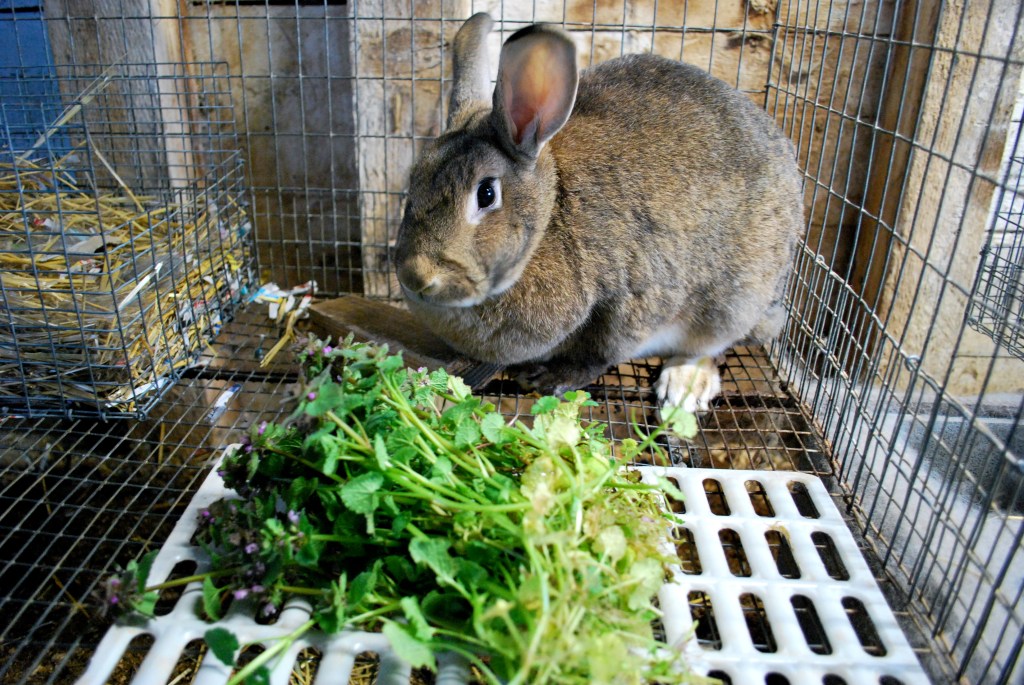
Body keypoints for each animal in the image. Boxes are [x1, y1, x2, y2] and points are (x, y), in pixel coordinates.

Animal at [394, 13, 804, 413]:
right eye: (413, 181)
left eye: (486, 194)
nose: (417, 276)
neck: (549, 216)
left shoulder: (631, 301)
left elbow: (599, 354)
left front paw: (550, 378)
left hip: (735, 302)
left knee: (713, 344)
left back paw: (684, 385)